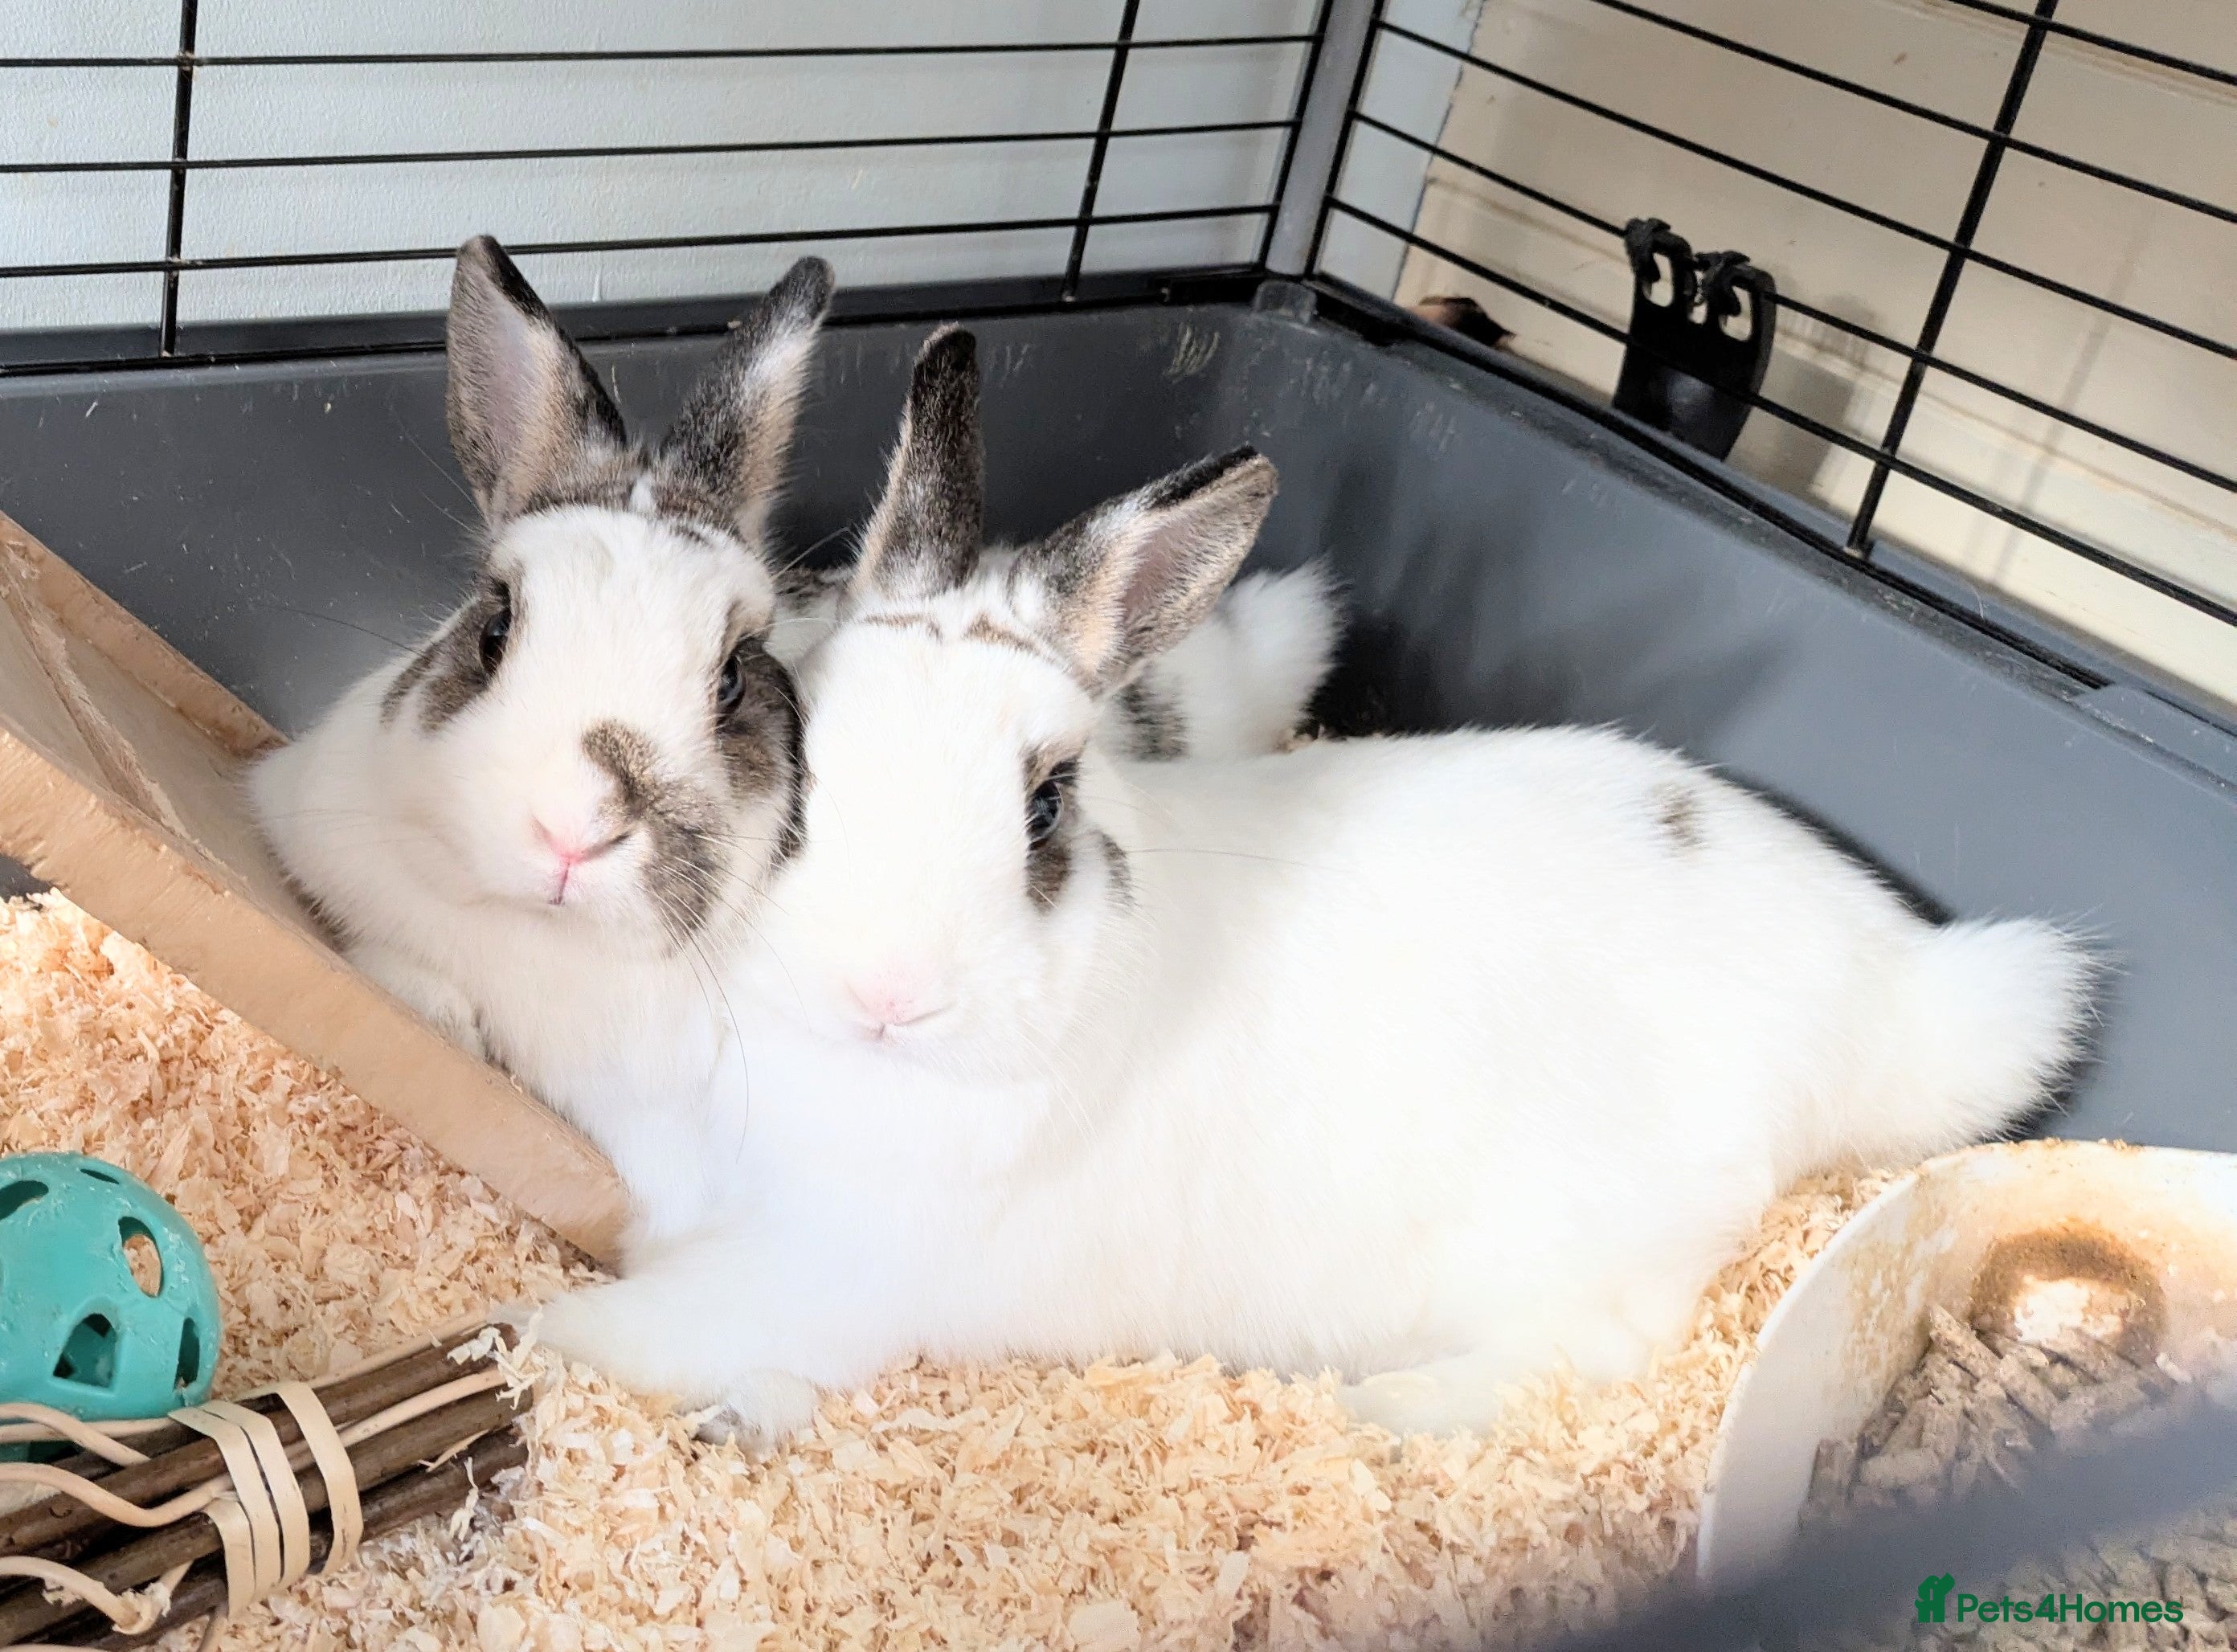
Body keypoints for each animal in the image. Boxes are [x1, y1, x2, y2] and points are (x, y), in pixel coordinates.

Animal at [531, 327, 2094, 1447]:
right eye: (804, 755)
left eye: (1044, 808)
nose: (887, 991)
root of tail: (1890, 982)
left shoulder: (834, 1274)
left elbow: (654, 1326)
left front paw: (534, 1344)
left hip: (1583, 1249)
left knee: (1578, 1354)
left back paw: (1388, 1410)